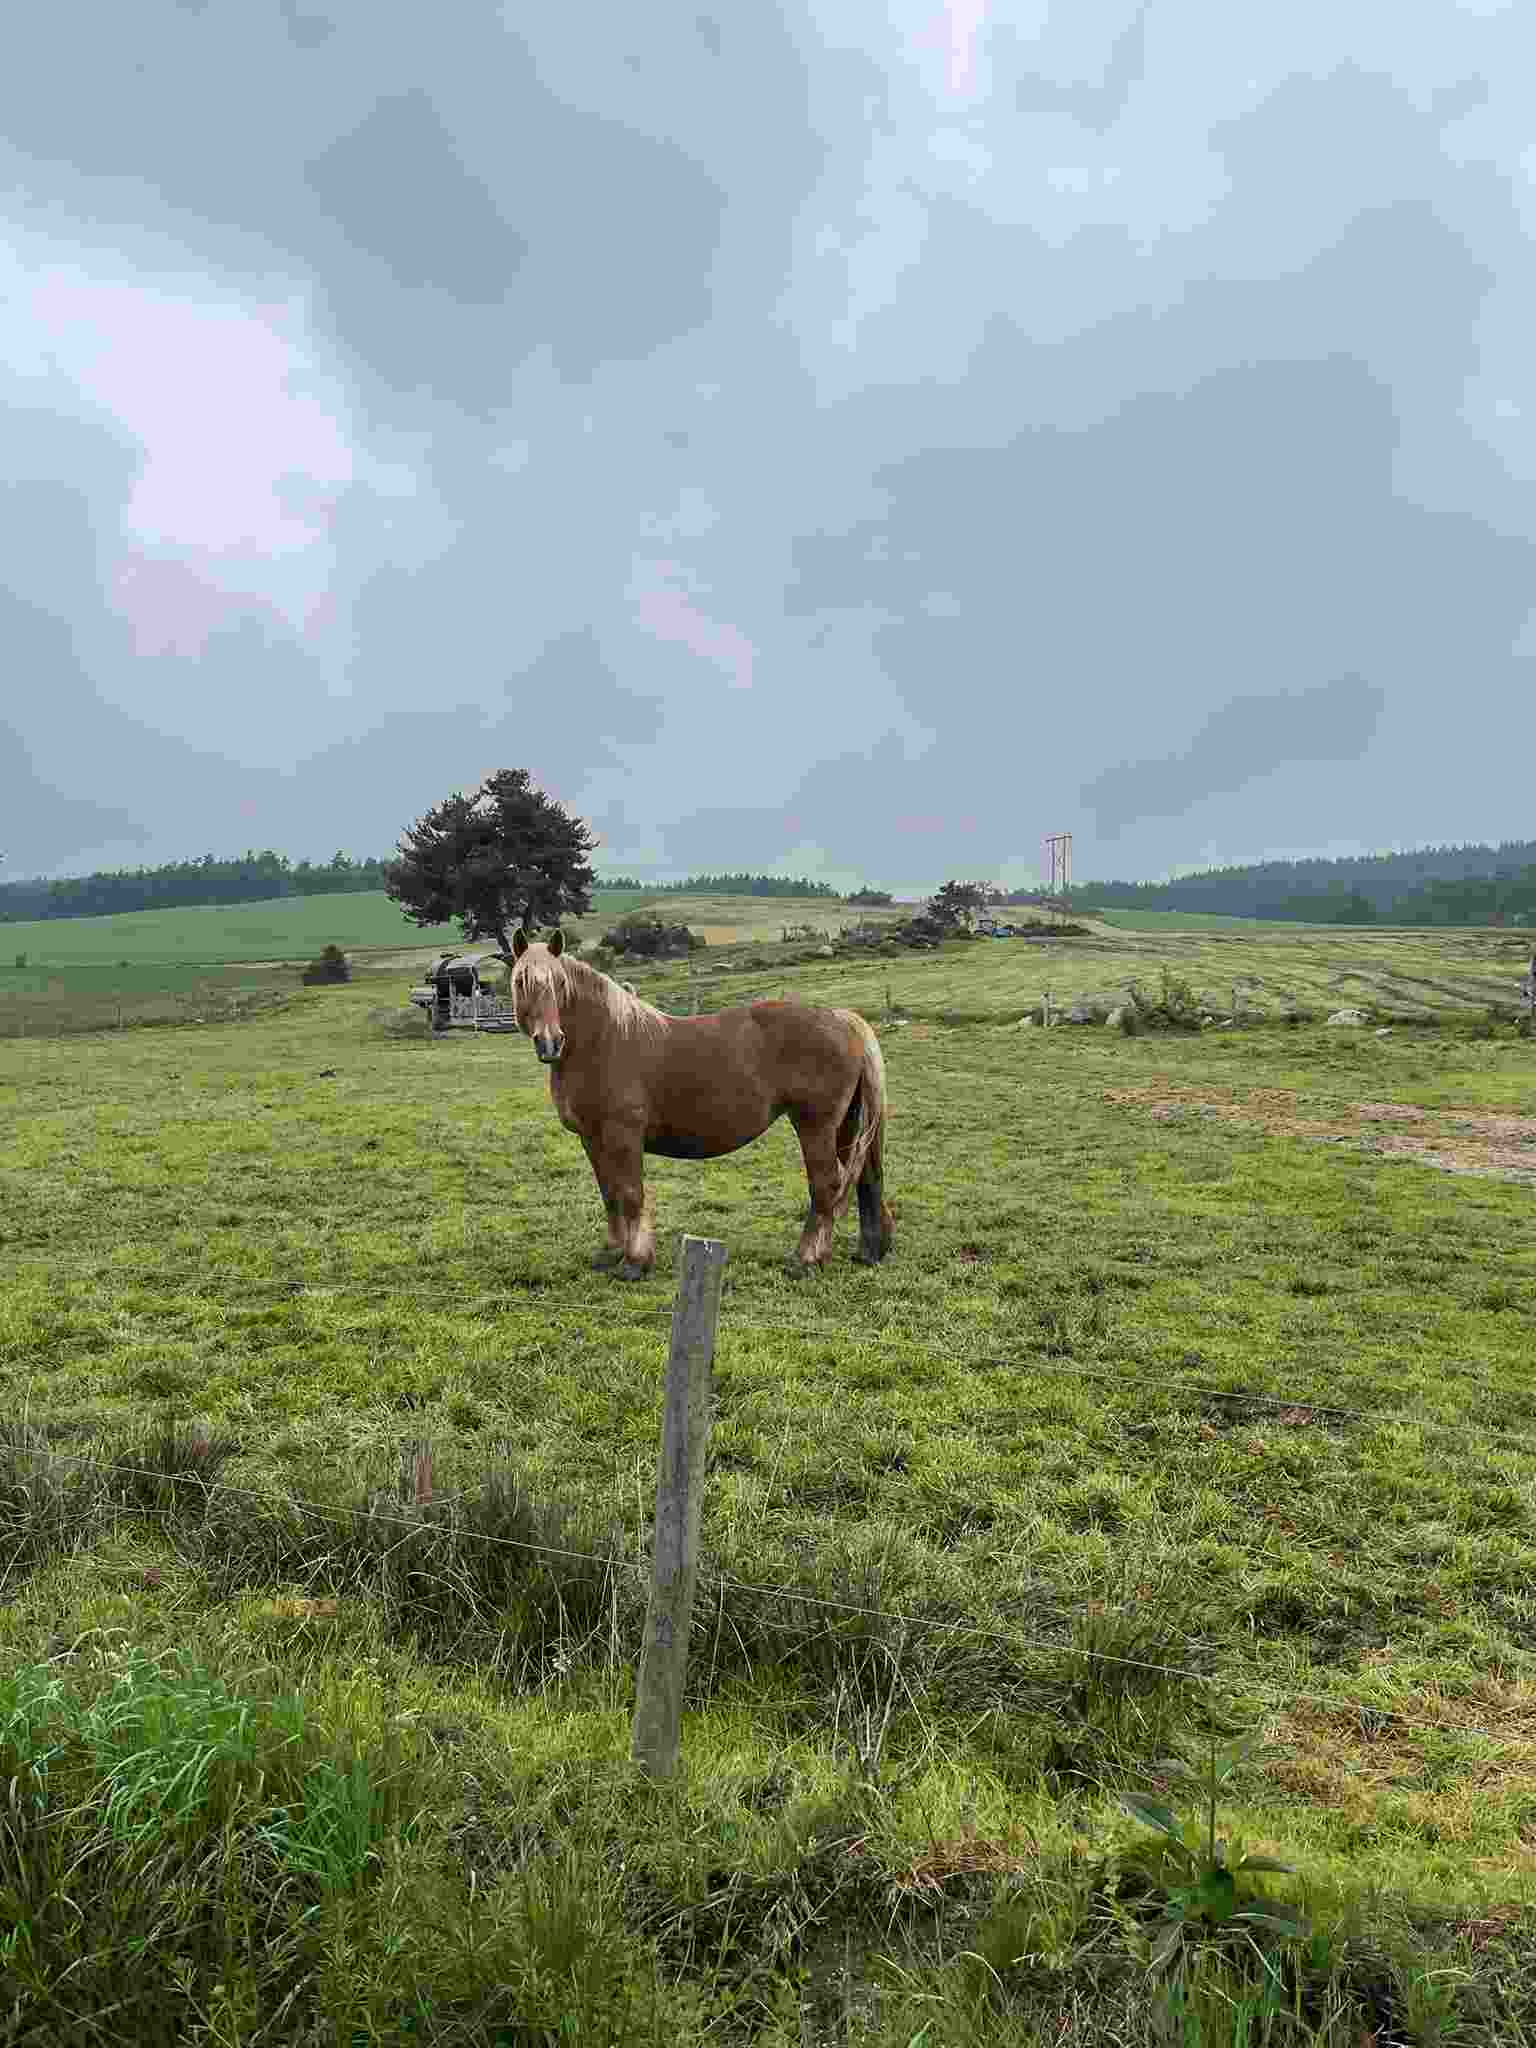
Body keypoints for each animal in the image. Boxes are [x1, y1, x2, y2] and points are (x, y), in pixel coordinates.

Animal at [504, 929, 892, 1279]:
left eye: (559, 983)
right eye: (520, 982)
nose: (550, 1042)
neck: (604, 1040)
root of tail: (842, 1018)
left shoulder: (622, 1136)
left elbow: (630, 1194)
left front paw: (635, 1262)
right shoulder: (591, 1139)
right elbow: (609, 1194)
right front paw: (610, 1253)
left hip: (815, 1126)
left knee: (826, 1185)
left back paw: (807, 1260)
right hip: (847, 1126)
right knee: (866, 1177)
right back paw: (871, 1250)